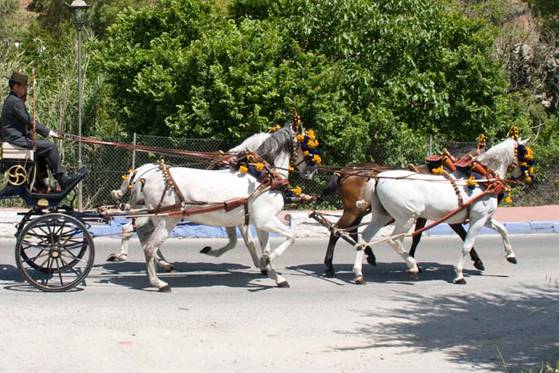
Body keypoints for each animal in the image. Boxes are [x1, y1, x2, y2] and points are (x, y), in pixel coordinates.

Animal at [106, 129, 274, 268]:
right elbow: (247, 241)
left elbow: (239, 241)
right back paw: (131, 256)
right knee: (133, 230)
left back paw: (161, 262)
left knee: (141, 233)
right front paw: (261, 264)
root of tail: (140, 171)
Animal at [133, 125, 318, 290]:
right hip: (167, 221)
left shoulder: (259, 224)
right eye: (308, 147)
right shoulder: (265, 220)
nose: (313, 171)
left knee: (143, 236)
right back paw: (158, 282)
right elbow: (291, 236)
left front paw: (275, 275)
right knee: (149, 247)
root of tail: (145, 177)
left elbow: (262, 246)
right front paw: (266, 261)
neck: (263, 178)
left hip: (155, 218)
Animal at [322, 161, 488, 278]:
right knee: (336, 231)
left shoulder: (423, 216)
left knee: (353, 231)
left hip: (359, 211)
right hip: (353, 211)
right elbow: (462, 234)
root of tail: (343, 172)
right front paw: (478, 261)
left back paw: (369, 255)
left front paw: (411, 260)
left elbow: (417, 236)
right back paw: (329, 266)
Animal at [356, 137, 532, 284]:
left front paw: (511, 255)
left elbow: (502, 229)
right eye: (525, 154)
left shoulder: (484, 217)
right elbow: (467, 245)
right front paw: (460, 275)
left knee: (364, 238)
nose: (529, 178)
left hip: (382, 215)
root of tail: (379, 178)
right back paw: (412, 265)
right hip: (407, 217)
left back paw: (359, 273)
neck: (483, 178)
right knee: (394, 239)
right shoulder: (478, 219)